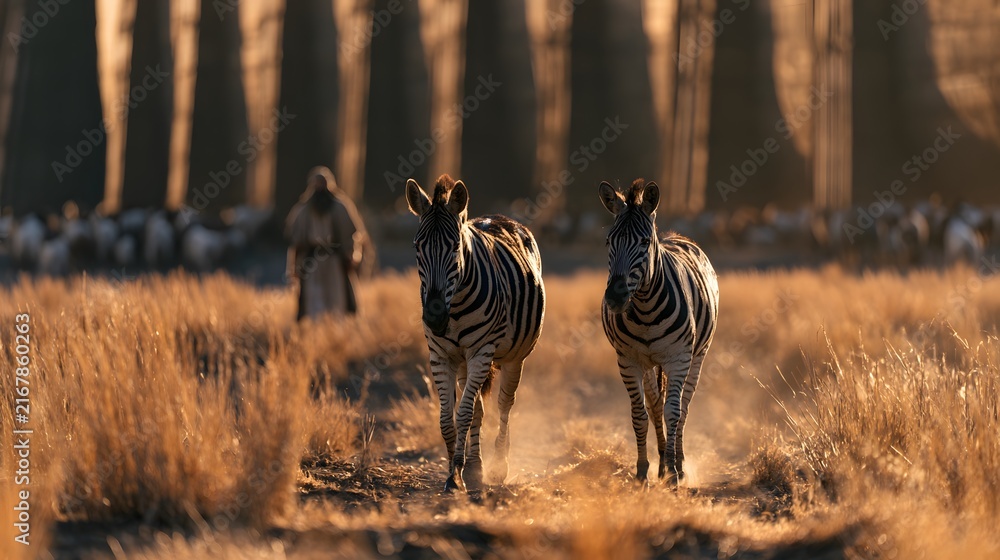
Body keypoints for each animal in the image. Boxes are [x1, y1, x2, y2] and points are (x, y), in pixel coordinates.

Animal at [406, 175, 546, 492]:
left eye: (455, 247)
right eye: (418, 246)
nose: (434, 317)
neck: (454, 306)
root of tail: (500, 217)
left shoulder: (482, 351)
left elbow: (465, 414)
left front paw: (459, 473)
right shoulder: (440, 355)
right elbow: (449, 419)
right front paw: (455, 474)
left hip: (514, 358)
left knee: (504, 404)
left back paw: (499, 466)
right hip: (464, 362)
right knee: (480, 409)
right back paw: (474, 467)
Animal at [599, 179, 720, 485]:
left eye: (643, 242)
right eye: (608, 242)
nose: (615, 298)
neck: (645, 310)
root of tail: (675, 236)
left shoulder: (678, 358)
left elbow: (673, 411)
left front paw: (675, 474)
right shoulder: (628, 361)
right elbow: (640, 414)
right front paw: (643, 471)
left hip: (698, 355)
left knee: (683, 407)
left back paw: (678, 462)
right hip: (650, 363)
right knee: (655, 405)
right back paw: (663, 461)